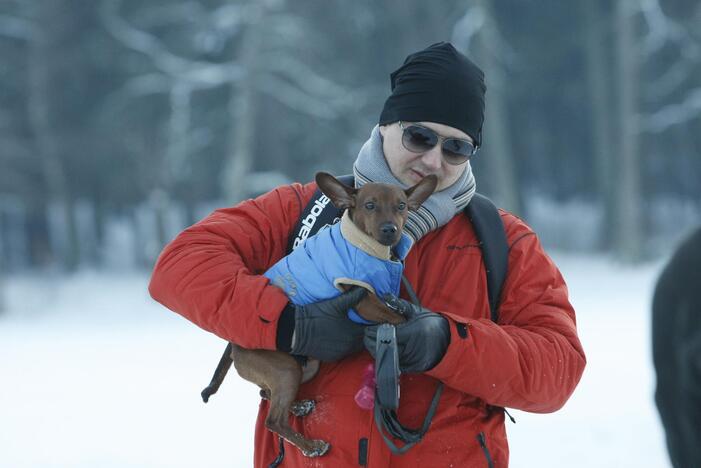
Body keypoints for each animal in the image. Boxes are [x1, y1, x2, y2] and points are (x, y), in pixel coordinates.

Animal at [200, 172, 434, 458]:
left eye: (401, 206)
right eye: (369, 205)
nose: (390, 230)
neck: (366, 247)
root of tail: (233, 346)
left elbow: (395, 307)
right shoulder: (362, 300)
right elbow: (396, 317)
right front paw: (417, 328)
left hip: (306, 367)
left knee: (266, 393)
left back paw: (299, 407)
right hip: (286, 369)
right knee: (273, 420)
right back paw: (312, 447)